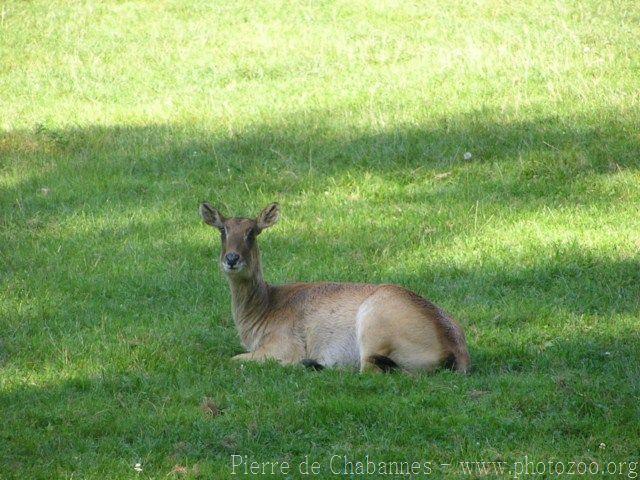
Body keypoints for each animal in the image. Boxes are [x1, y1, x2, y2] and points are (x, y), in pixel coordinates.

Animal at [200, 201, 470, 374]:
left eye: (252, 232)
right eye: (222, 230)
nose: (232, 258)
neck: (263, 313)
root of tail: (455, 352)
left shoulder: (283, 345)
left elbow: (234, 359)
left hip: (374, 326)